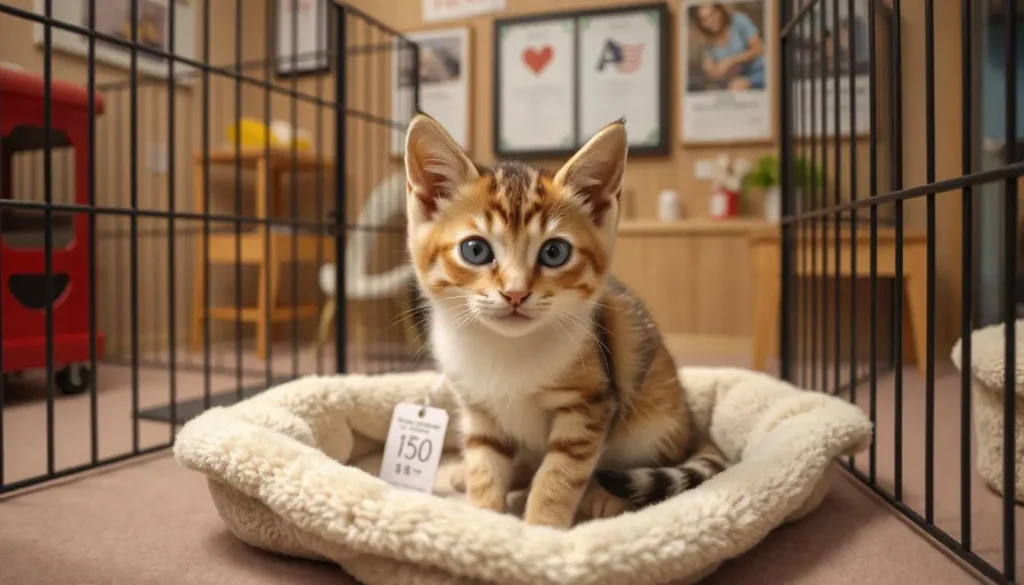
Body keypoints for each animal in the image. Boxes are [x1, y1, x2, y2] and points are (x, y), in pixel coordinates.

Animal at [401, 112, 729, 528]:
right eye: (475, 250)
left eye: (554, 252)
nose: (515, 293)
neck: (505, 350)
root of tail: (692, 425)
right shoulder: (478, 409)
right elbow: (485, 464)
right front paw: (484, 517)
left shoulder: (590, 403)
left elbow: (560, 473)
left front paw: (542, 527)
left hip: (653, 419)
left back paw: (603, 497)